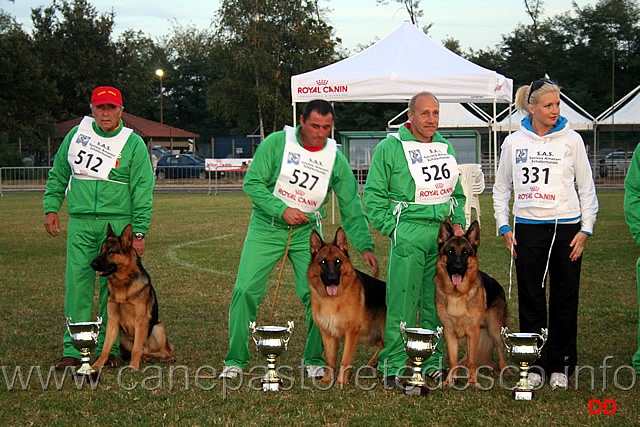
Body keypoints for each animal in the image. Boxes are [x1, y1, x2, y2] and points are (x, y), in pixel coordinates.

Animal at [91, 224, 174, 372]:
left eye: (110, 251)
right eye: (101, 250)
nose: (91, 264)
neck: (122, 283)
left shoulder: (141, 320)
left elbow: (136, 349)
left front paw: (133, 366)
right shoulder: (113, 321)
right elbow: (105, 348)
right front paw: (97, 365)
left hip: (158, 327)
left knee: (163, 351)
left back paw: (164, 357)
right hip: (124, 338)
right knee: (146, 351)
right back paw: (146, 357)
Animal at [308, 227, 388, 388]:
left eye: (338, 261)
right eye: (323, 262)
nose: (332, 280)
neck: (333, 300)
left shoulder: (351, 333)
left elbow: (345, 360)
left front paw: (340, 382)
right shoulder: (328, 334)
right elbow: (330, 361)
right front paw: (327, 380)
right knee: (382, 346)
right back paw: (372, 363)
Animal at [436, 221, 510, 388]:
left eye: (465, 252)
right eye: (450, 251)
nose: (457, 268)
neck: (457, 295)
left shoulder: (473, 331)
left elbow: (472, 361)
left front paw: (473, 381)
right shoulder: (450, 332)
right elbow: (453, 360)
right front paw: (450, 380)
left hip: (494, 330)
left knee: (501, 349)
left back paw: (506, 370)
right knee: (465, 357)